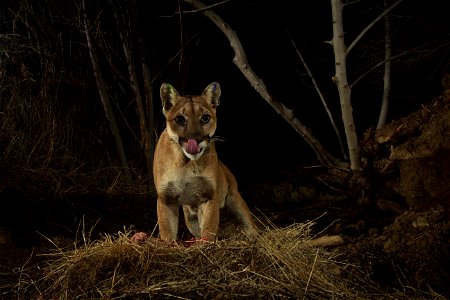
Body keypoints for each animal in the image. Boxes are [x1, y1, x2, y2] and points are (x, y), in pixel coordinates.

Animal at [153, 81, 255, 241]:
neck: (186, 163)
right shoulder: (166, 198)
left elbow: (208, 228)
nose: (196, 139)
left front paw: (206, 244)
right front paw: (169, 244)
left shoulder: (209, 195)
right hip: (190, 217)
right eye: (180, 119)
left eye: (205, 118)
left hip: (234, 196)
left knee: (248, 220)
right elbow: (167, 231)